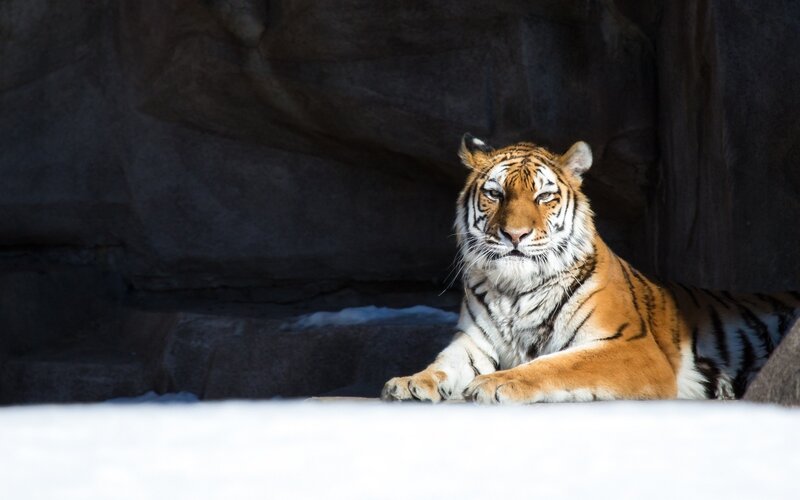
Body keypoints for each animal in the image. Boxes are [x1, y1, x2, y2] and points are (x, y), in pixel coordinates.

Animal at [380, 134, 800, 404]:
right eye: (495, 194)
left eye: (543, 196)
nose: (515, 234)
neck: (516, 292)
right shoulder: (471, 343)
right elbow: (441, 365)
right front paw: (409, 383)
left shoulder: (630, 345)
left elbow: (557, 364)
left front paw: (494, 383)